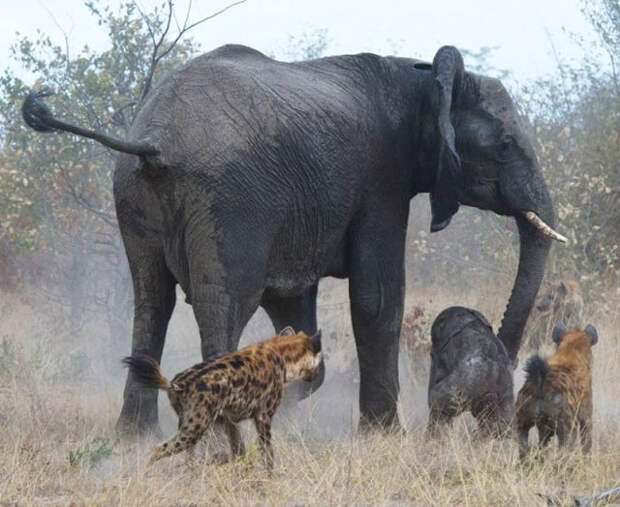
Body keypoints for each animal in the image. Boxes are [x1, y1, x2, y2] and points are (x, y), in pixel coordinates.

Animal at [516, 326, 600, 460]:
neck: (570, 352)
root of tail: (541, 385)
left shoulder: (544, 429)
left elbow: (542, 446)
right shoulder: (586, 414)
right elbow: (586, 443)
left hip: (521, 424)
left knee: (523, 450)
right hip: (568, 429)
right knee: (564, 453)